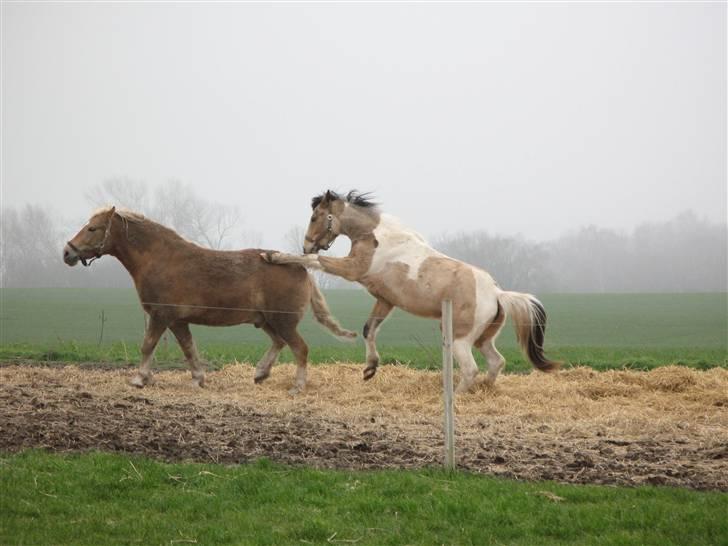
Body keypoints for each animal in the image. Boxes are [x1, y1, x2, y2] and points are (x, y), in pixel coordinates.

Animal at [65, 205, 356, 392]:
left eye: (92, 228)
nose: (68, 252)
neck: (160, 258)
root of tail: (300, 267)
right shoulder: (177, 321)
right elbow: (189, 348)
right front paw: (198, 379)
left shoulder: (161, 315)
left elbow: (148, 346)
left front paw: (139, 379)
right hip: (267, 321)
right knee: (279, 343)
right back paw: (260, 373)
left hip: (282, 321)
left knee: (300, 349)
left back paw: (297, 386)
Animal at [264, 191, 560, 392]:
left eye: (315, 217)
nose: (306, 244)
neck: (374, 237)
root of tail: (498, 294)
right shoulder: (385, 299)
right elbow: (369, 330)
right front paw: (370, 369)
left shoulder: (351, 270)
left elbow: (315, 261)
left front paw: (275, 256)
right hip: (482, 338)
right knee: (496, 362)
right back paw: (484, 390)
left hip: (460, 338)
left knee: (470, 369)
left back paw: (456, 395)